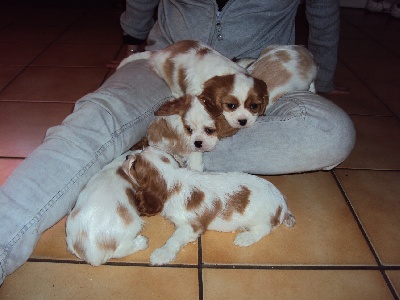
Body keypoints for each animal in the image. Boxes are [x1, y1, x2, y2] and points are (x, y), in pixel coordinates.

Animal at [123, 146, 296, 266]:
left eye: (134, 165)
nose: (127, 156)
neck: (172, 179)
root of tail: (282, 203)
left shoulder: (191, 226)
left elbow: (174, 239)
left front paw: (162, 254)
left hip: (260, 218)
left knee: (263, 229)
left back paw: (245, 237)